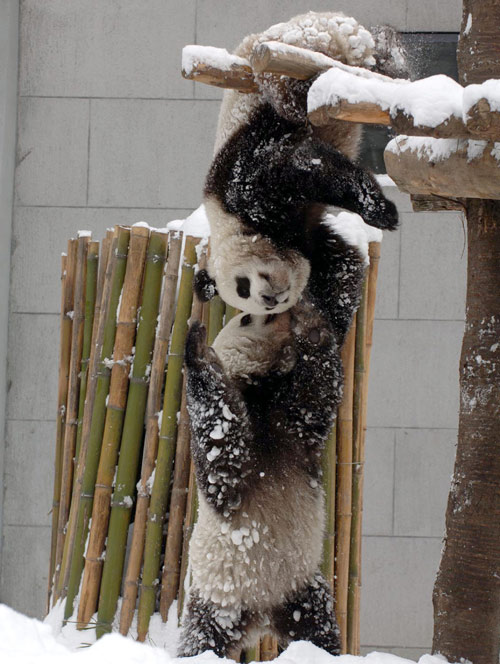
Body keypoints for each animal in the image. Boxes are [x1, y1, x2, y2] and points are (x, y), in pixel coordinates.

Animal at [178, 210, 380, 656]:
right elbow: (222, 453)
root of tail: (261, 618)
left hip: (303, 585)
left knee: (318, 626)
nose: (277, 305)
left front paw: (313, 318)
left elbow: (319, 382)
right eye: (246, 314)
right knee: (202, 637)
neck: (260, 390)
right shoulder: (239, 461)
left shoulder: (295, 423)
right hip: (219, 595)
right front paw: (197, 348)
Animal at [193, 11, 408, 316]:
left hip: (299, 50)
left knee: (296, 91)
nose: (270, 299)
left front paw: (380, 210)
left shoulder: (240, 185)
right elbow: (339, 266)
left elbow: (299, 168)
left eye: (242, 285)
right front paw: (331, 317)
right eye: (244, 294)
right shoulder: (309, 239)